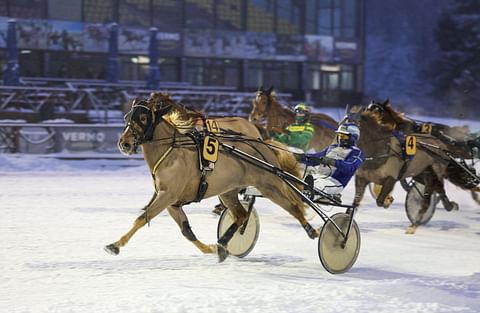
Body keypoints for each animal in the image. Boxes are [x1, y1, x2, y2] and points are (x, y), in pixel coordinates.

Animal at [103, 92, 316, 260]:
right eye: (127, 116)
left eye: (143, 117)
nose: (124, 143)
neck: (172, 151)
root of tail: (262, 144)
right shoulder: (172, 203)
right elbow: (187, 232)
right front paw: (212, 249)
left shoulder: (167, 196)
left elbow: (142, 218)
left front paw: (115, 245)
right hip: (229, 192)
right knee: (241, 216)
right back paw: (222, 244)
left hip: (270, 185)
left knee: (294, 207)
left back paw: (313, 230)